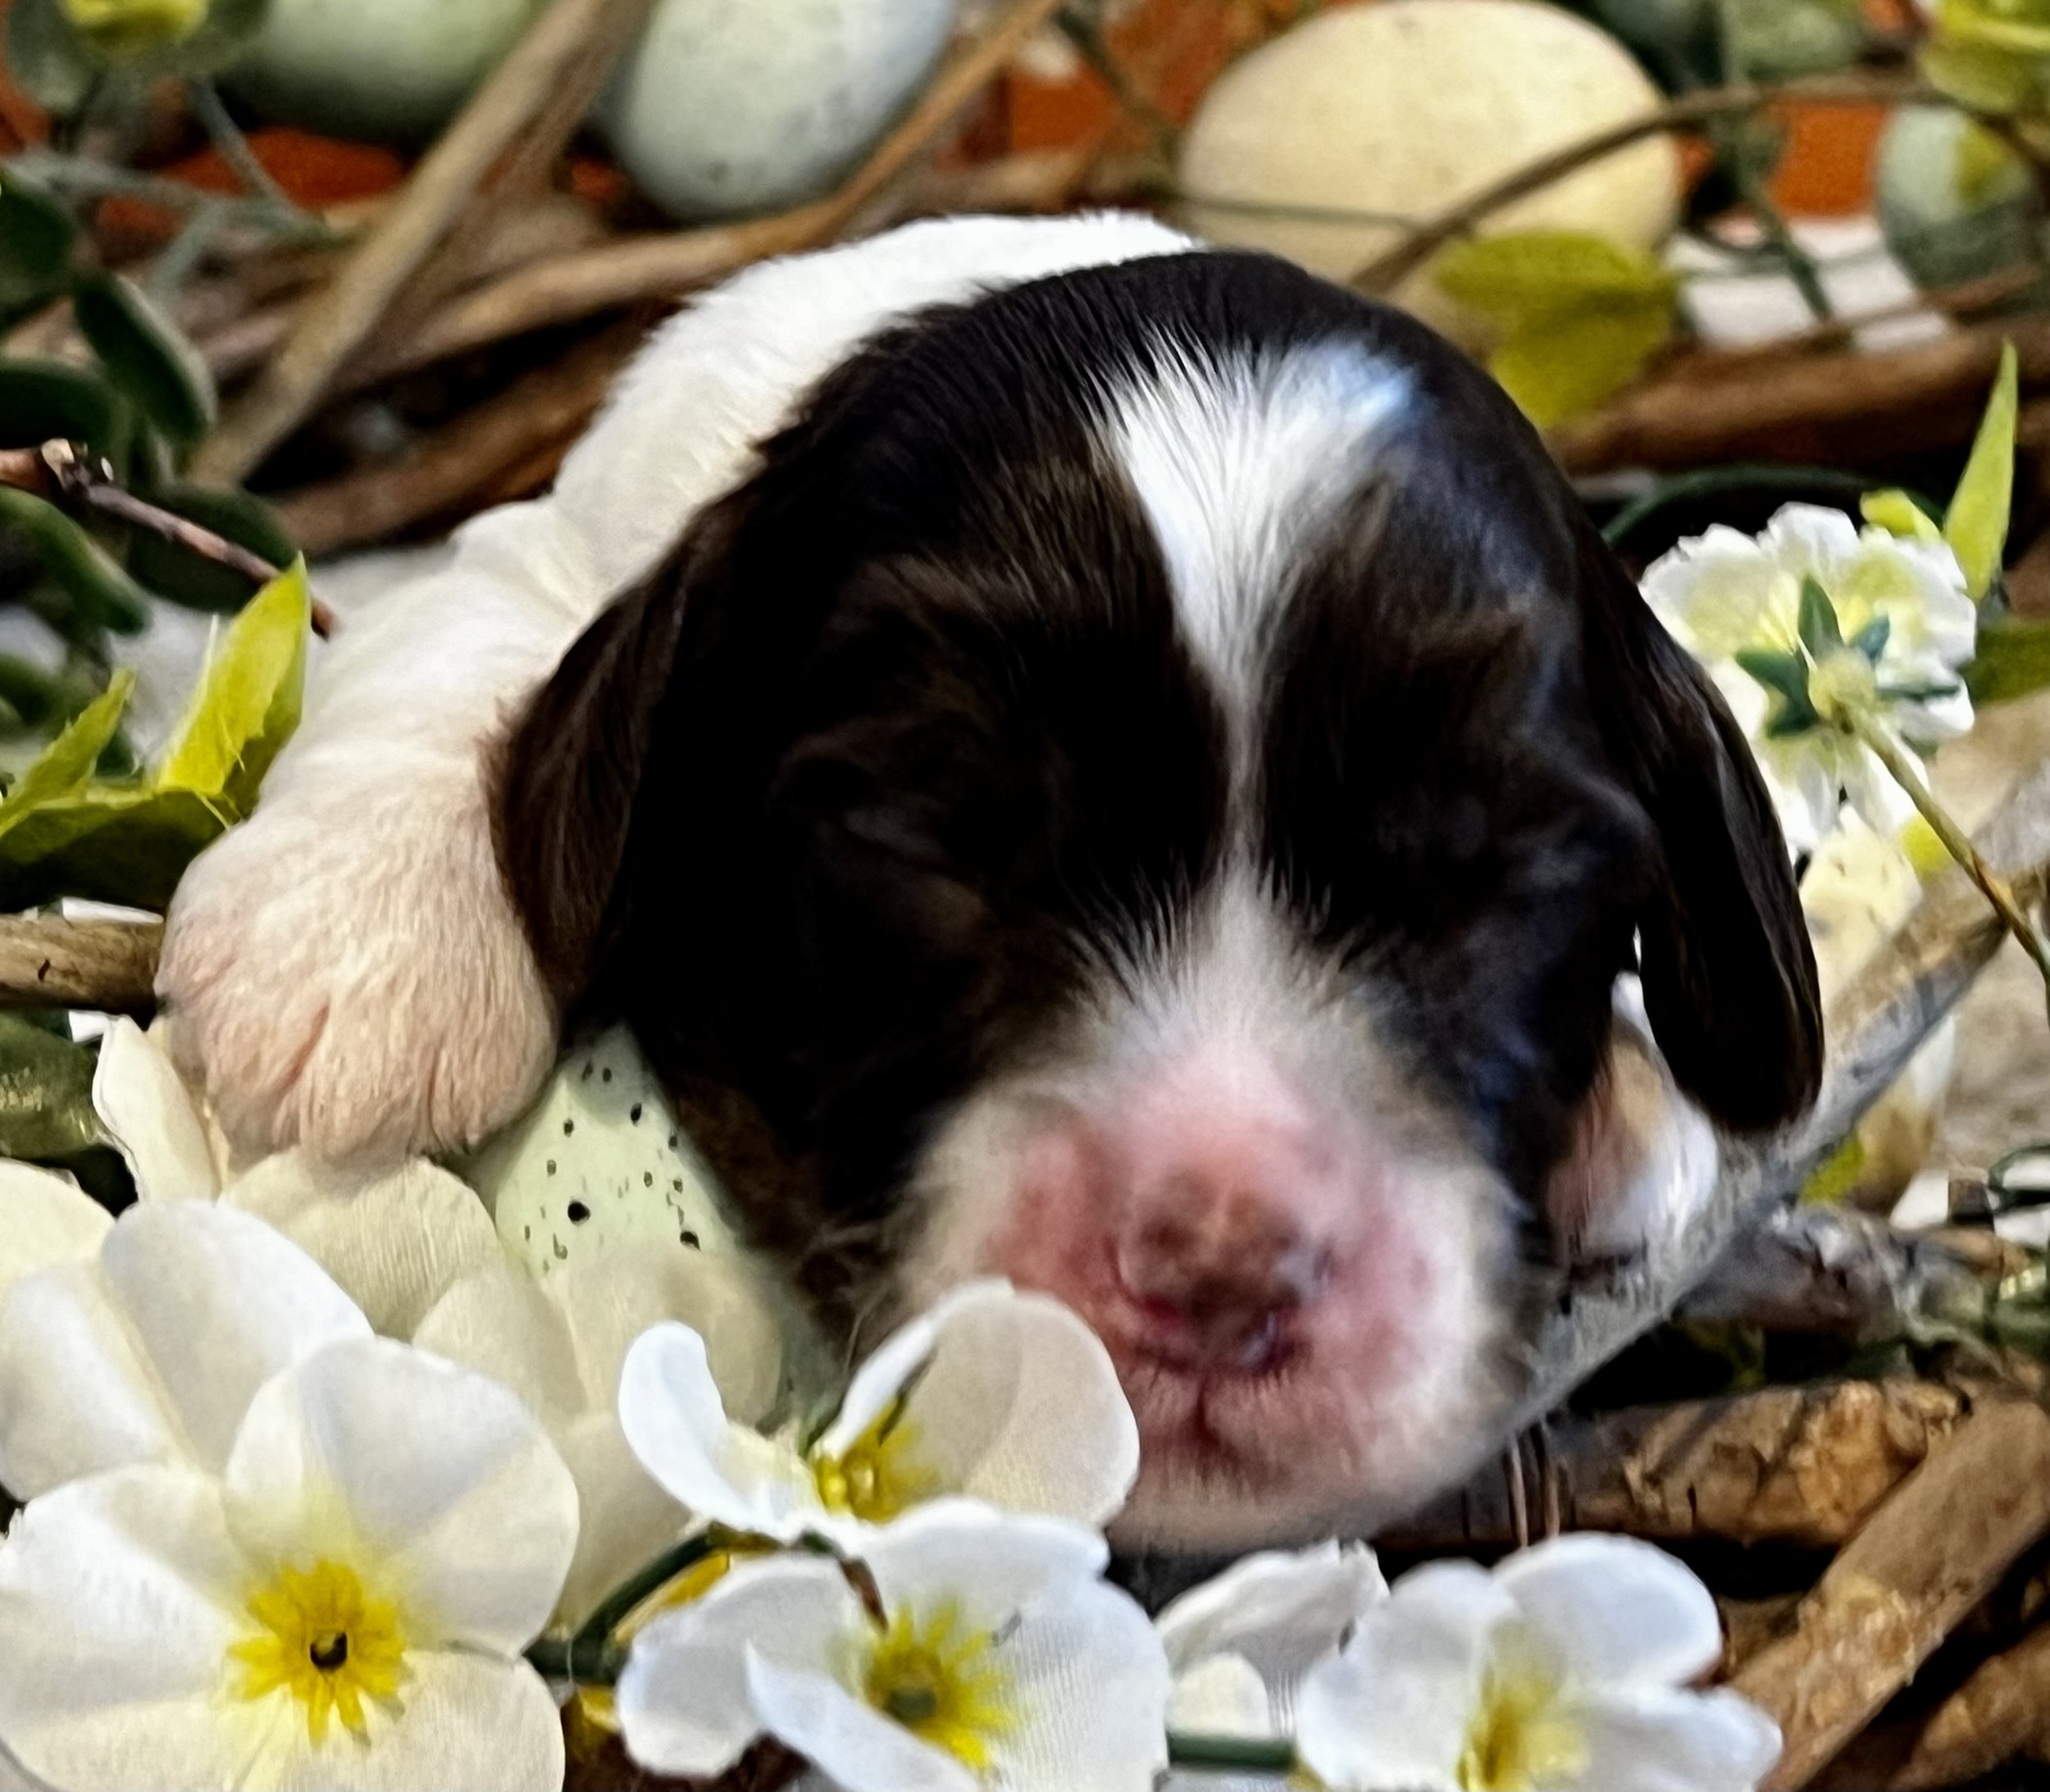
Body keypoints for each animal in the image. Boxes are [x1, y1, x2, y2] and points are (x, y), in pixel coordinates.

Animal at [164, 213, 1829, 1550]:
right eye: (928, 844)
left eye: (1499, 874)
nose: (1220, 1272)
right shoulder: (554, 539)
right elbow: (467, 639)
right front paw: (350, 954)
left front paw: (1627, 1106)